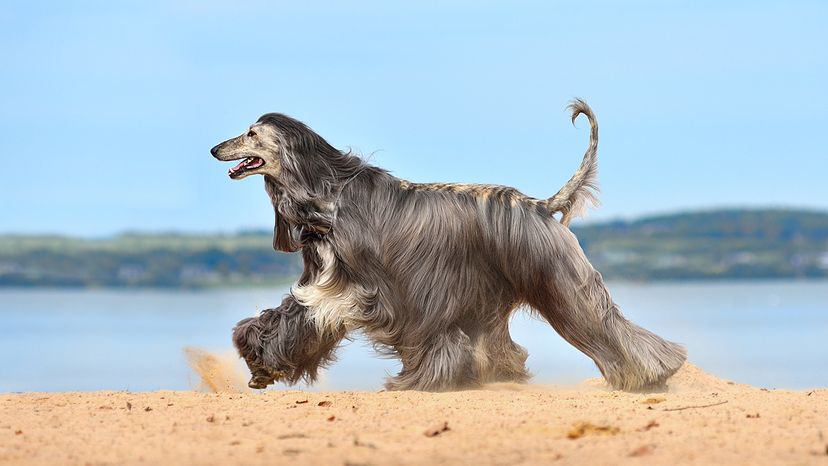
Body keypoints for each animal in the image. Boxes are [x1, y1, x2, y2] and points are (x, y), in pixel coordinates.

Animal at [213, 100, 684, 392]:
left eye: (250, 134)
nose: (215, 147)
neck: (327, 197)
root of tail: (539, 205)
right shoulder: (326, 283)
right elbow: (290, 315)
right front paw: (259, 362)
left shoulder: (375, 290)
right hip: (494, 292)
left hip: (558, 279)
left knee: (603, 323)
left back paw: (652, 374)